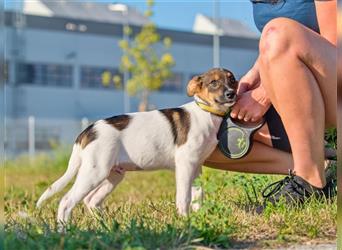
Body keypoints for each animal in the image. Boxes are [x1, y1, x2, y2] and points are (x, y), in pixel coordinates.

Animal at [36, 67, 236, 224]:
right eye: (214, 83)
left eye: (232, 79)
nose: (231, 94)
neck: (207, 113)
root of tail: (87, 131)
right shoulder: (185, 164)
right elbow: (184, 197)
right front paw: (185, 221)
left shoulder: (196, 166)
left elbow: (197, 194)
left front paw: (198, 218)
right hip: (95, 171)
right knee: (67, 201)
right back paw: (64, 230)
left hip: (113, 174)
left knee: (91, 200)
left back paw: (105, 225)